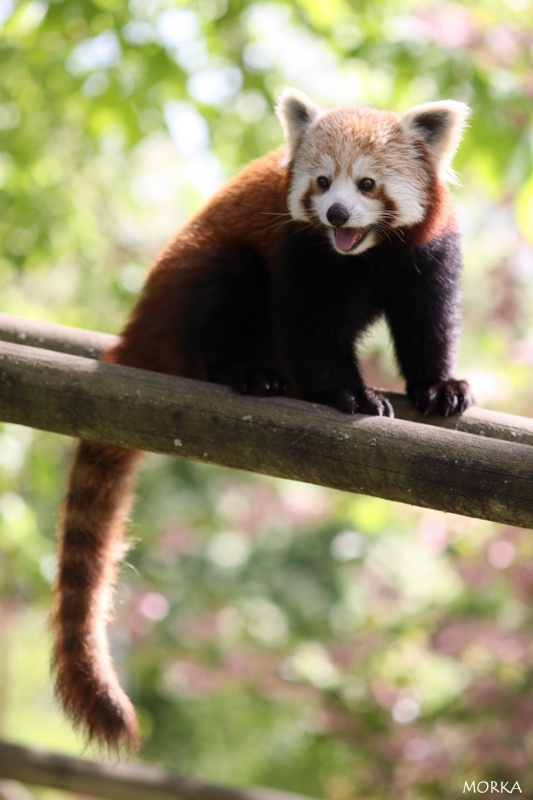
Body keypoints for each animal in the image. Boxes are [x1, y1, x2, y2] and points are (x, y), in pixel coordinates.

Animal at [52, 90, 472, 752]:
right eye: (322, 181)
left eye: (367, 183)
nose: (335, 212)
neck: (365, 251)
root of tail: (133, 335)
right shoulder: (301, 250)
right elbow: (309, 327)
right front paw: (349, 394)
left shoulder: (426, 253)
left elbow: (427, 322)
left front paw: (439, 387)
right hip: (195, 285)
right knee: (229, 276)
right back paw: (248, 373)